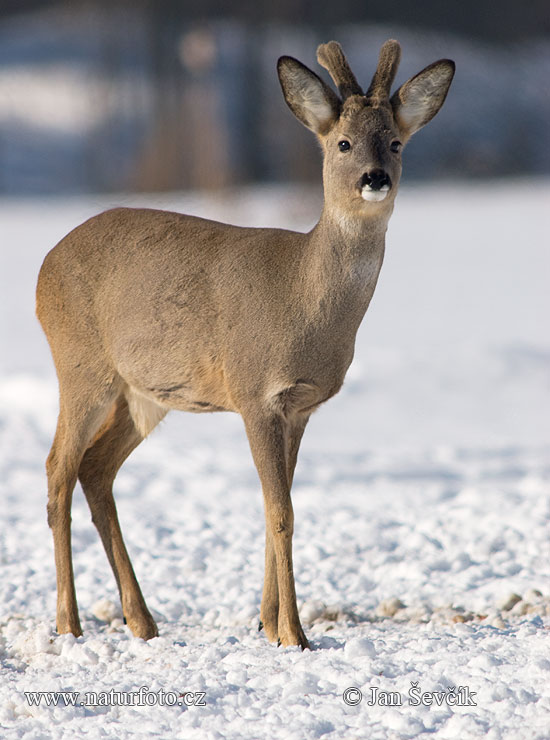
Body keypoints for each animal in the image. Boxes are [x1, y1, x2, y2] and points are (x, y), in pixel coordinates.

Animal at [36, 40, 454, 648]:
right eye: (343, 142)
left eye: (396, 142)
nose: (375, 177)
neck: (304, 299)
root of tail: (43, 268)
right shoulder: (255, 390)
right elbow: (282, 512)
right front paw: (295, 635)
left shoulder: (300, 406)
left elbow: (276, 506)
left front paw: (268, 623)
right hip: (81, 366)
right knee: (57, 471)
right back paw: (69, 625)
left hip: (145, 394)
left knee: (95, 469)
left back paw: (143, 621)